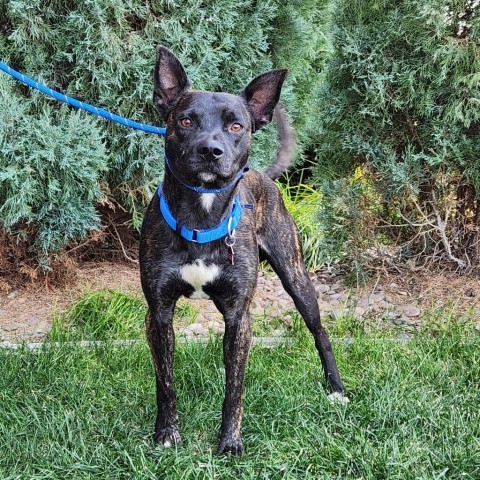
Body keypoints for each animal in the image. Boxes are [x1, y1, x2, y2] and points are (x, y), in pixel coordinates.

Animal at [139, 47, 344, 456]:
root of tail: (262, 174)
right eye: (185, 120)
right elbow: (165, 382)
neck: (201, 215)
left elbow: (234, 387)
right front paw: (167, 433)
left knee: (320, 331)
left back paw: (336, 389)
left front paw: (230, 441)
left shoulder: (238, 316)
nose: (210, 150)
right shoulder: (159, 313)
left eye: (237, 127)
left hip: (296, 276)